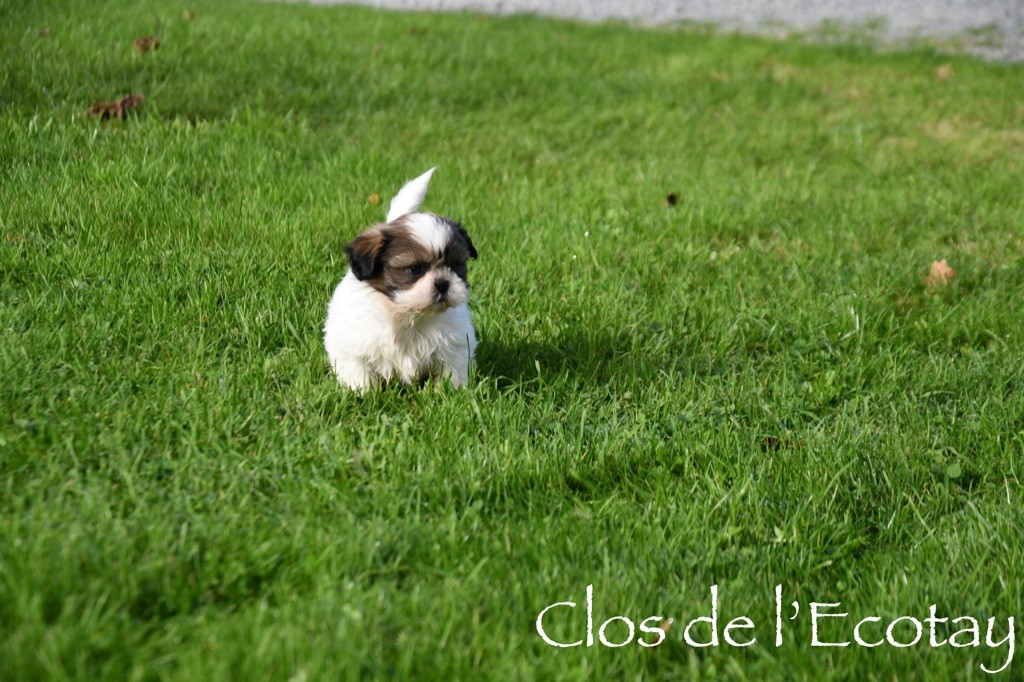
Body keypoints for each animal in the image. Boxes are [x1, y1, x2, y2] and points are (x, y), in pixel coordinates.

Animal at [324, 168, 478, 390]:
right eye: (415, 269)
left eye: (455, 266)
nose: (443, 283)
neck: (405, 313)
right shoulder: (352, 344)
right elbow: (358, 370)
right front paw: (363, 393)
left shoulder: (455, 344)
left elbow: (452, 371)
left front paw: (449, 393)